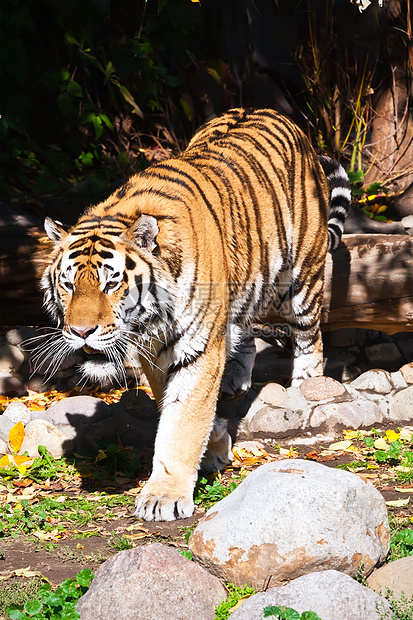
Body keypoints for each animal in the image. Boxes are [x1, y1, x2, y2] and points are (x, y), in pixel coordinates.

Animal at [38, 109, 350, 520]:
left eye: (111, 283)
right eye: (69, 285)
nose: (81, 331)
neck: (150, 323)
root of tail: (275, 113)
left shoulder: (198, 351)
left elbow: (183, 422)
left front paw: (165, 497)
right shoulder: (154, 354)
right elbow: (176, 409)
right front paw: (215, 439)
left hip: (301, 277)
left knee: (310, 339)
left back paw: (305, 387)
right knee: (245, 331)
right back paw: (235, 379)